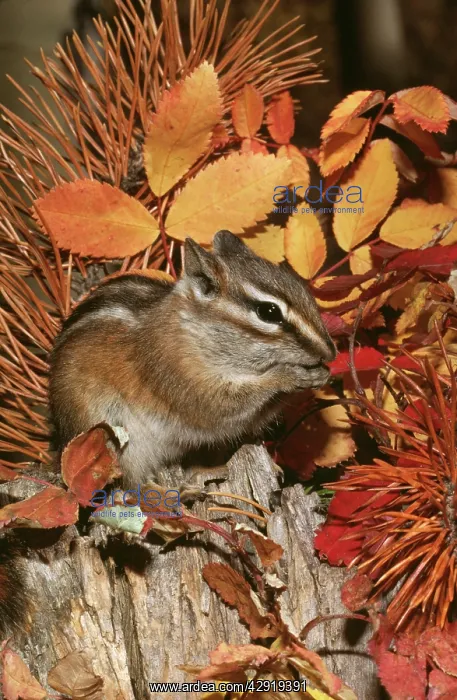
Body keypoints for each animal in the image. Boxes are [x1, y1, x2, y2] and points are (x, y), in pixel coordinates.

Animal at [49, 230, 336, 486]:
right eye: (269, 312)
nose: (330, 352)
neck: (194, 333)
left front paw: (321, 375)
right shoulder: (180, 375)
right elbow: (223, 406)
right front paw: (287, 375)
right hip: (111, 442)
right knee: (131, 487)